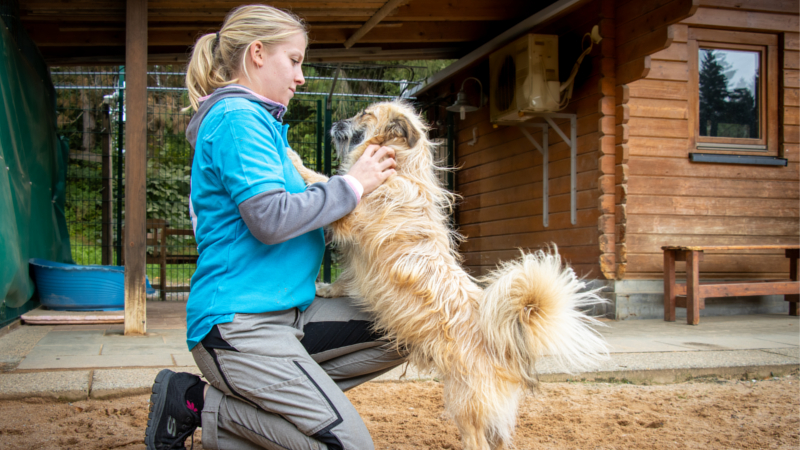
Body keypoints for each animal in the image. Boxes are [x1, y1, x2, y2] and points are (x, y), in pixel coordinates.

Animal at [288, 102, 608, 450]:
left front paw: (293, 157)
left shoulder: (352, 214)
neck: (401, 167)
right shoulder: (359, 256)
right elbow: (344, 280)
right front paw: (326, 290)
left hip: (463, 401)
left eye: (365, 115)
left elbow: (324, 179)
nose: (336, 122)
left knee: (477, 441)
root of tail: (502, 343)